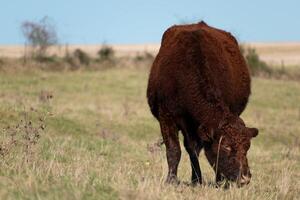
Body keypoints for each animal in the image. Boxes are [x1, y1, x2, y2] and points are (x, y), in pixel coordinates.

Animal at [147, 21, 258, 186]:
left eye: (248, 147)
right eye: (226, 146)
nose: (245, 178)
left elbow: (194, 149)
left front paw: (215, 181)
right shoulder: (167, 117)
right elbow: (174, 149)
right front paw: (171, 180)